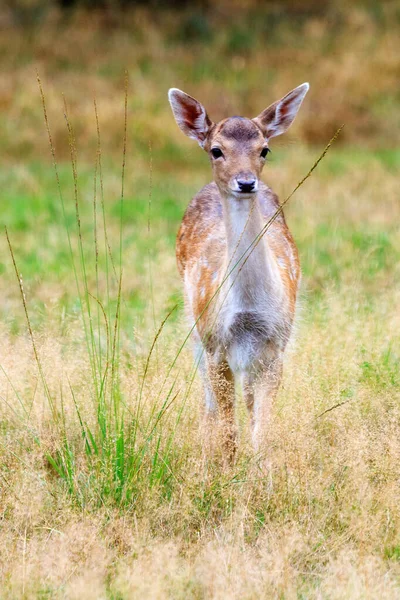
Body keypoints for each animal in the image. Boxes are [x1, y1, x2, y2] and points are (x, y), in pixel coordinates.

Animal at [169, 82, 310, 462]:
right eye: (216, 150)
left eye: (265, 149)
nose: (246, 183)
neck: (247, 308)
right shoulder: (216, 341)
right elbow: (228, 431)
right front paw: (226, 471)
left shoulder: (276, 343)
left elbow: (263, 432)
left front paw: (263, 476)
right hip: (195, 326)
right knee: (208, 403)